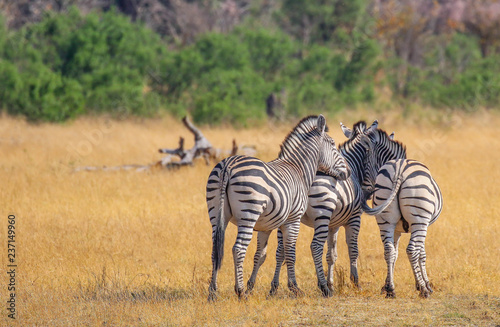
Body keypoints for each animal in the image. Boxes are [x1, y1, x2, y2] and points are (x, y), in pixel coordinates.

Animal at [205, 116, 350, 302]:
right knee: (238, 249)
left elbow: (269, 254)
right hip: (248, 213)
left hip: (216, 214)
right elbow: (291, 253)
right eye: (332, 144)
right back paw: (240, 291)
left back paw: (213, 292)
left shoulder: (269, 225)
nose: (348, 172)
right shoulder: (293, 219)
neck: (299, 170)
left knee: (215, 250)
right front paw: (295, 288)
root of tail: (228, 165)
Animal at [246, 121, 378, 298]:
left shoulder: (333, 225)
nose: (369, 193)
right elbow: (353, 249)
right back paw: (322, 288)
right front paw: (354, 283)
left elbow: (331, 255)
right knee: (314, 246)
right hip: (321, 214)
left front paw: (331, 283)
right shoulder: (354, 218)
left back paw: (274, 288)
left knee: (281, 250)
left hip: (288, 217)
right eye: (374, 157)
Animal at [358, 124, 444, 298]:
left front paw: (386, 285)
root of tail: (399, 169)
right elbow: (422, 253)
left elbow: (394, 253)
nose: (364, 190)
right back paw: (424, 290)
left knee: (388, 250)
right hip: (419, 220)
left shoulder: (396, 229)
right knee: (412, 250)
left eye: (364, 162)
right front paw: (424, 284)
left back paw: (391, 290)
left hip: (386, 219)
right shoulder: (423, 224)